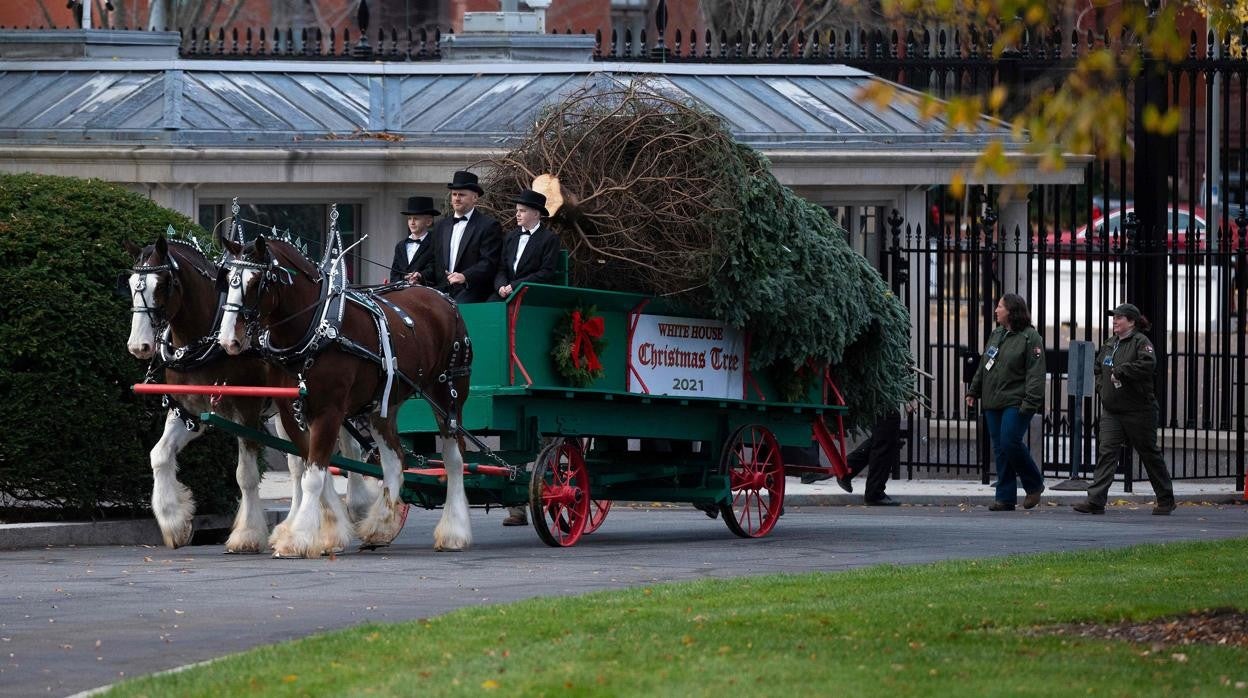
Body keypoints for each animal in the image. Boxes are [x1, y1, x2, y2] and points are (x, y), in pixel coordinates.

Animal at [214, 234, 471, 556]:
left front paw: (299, 537)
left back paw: (454, 531)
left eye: (256, 281)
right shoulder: (290, 412)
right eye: (227, 280)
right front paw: (329, 532)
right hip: (382, 405)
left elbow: (313, 477)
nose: (228, 340)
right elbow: (315, 470)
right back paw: (380, 526)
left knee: (454, 459)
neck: (315, 328)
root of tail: (443, 299)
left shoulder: (330, 411)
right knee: (395, 460)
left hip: (448, 394)